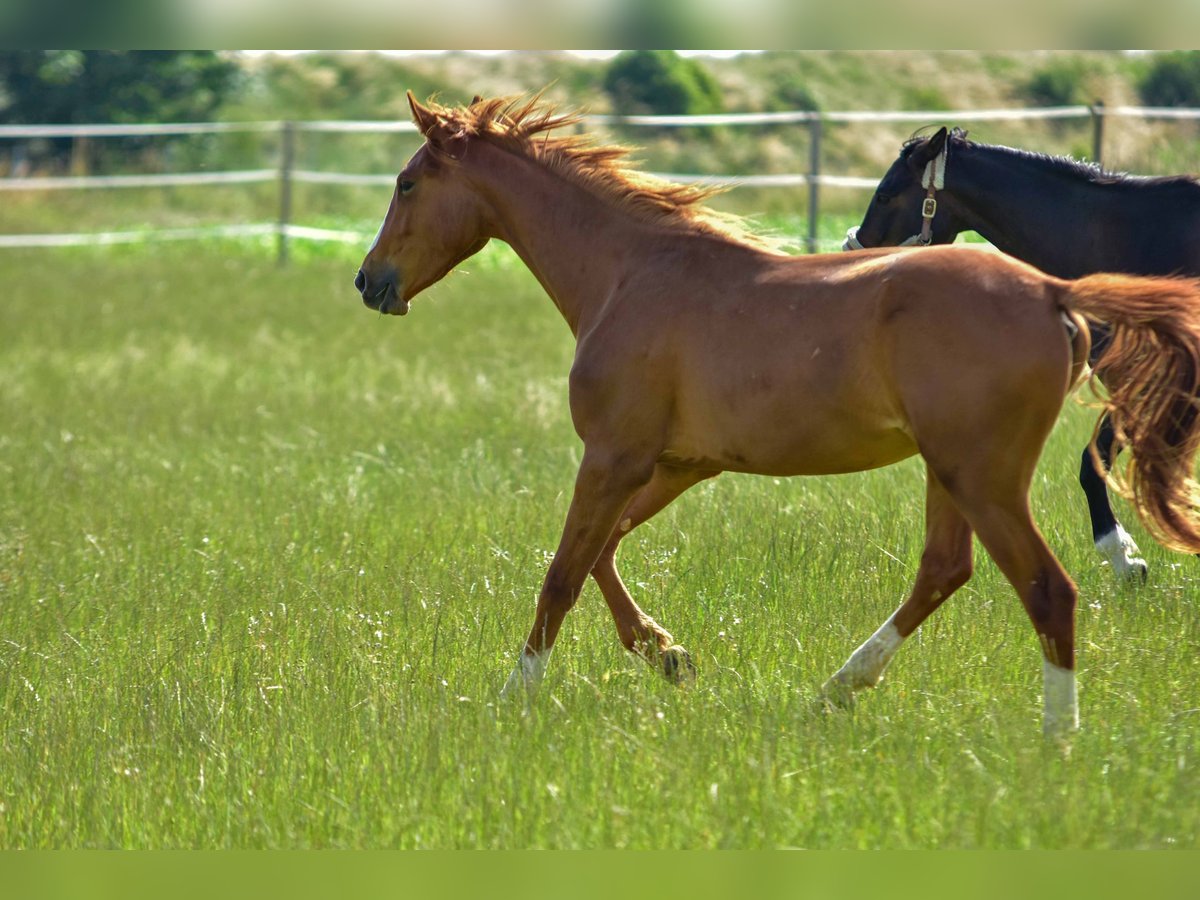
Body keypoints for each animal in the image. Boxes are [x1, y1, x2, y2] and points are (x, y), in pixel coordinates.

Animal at [845, 127, 1200, 582]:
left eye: (886, 194)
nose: (857, 260)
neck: (1125, 240)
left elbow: (1097, 464)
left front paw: (1122, 555)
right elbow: (1097, 461)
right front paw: (1127, 558)